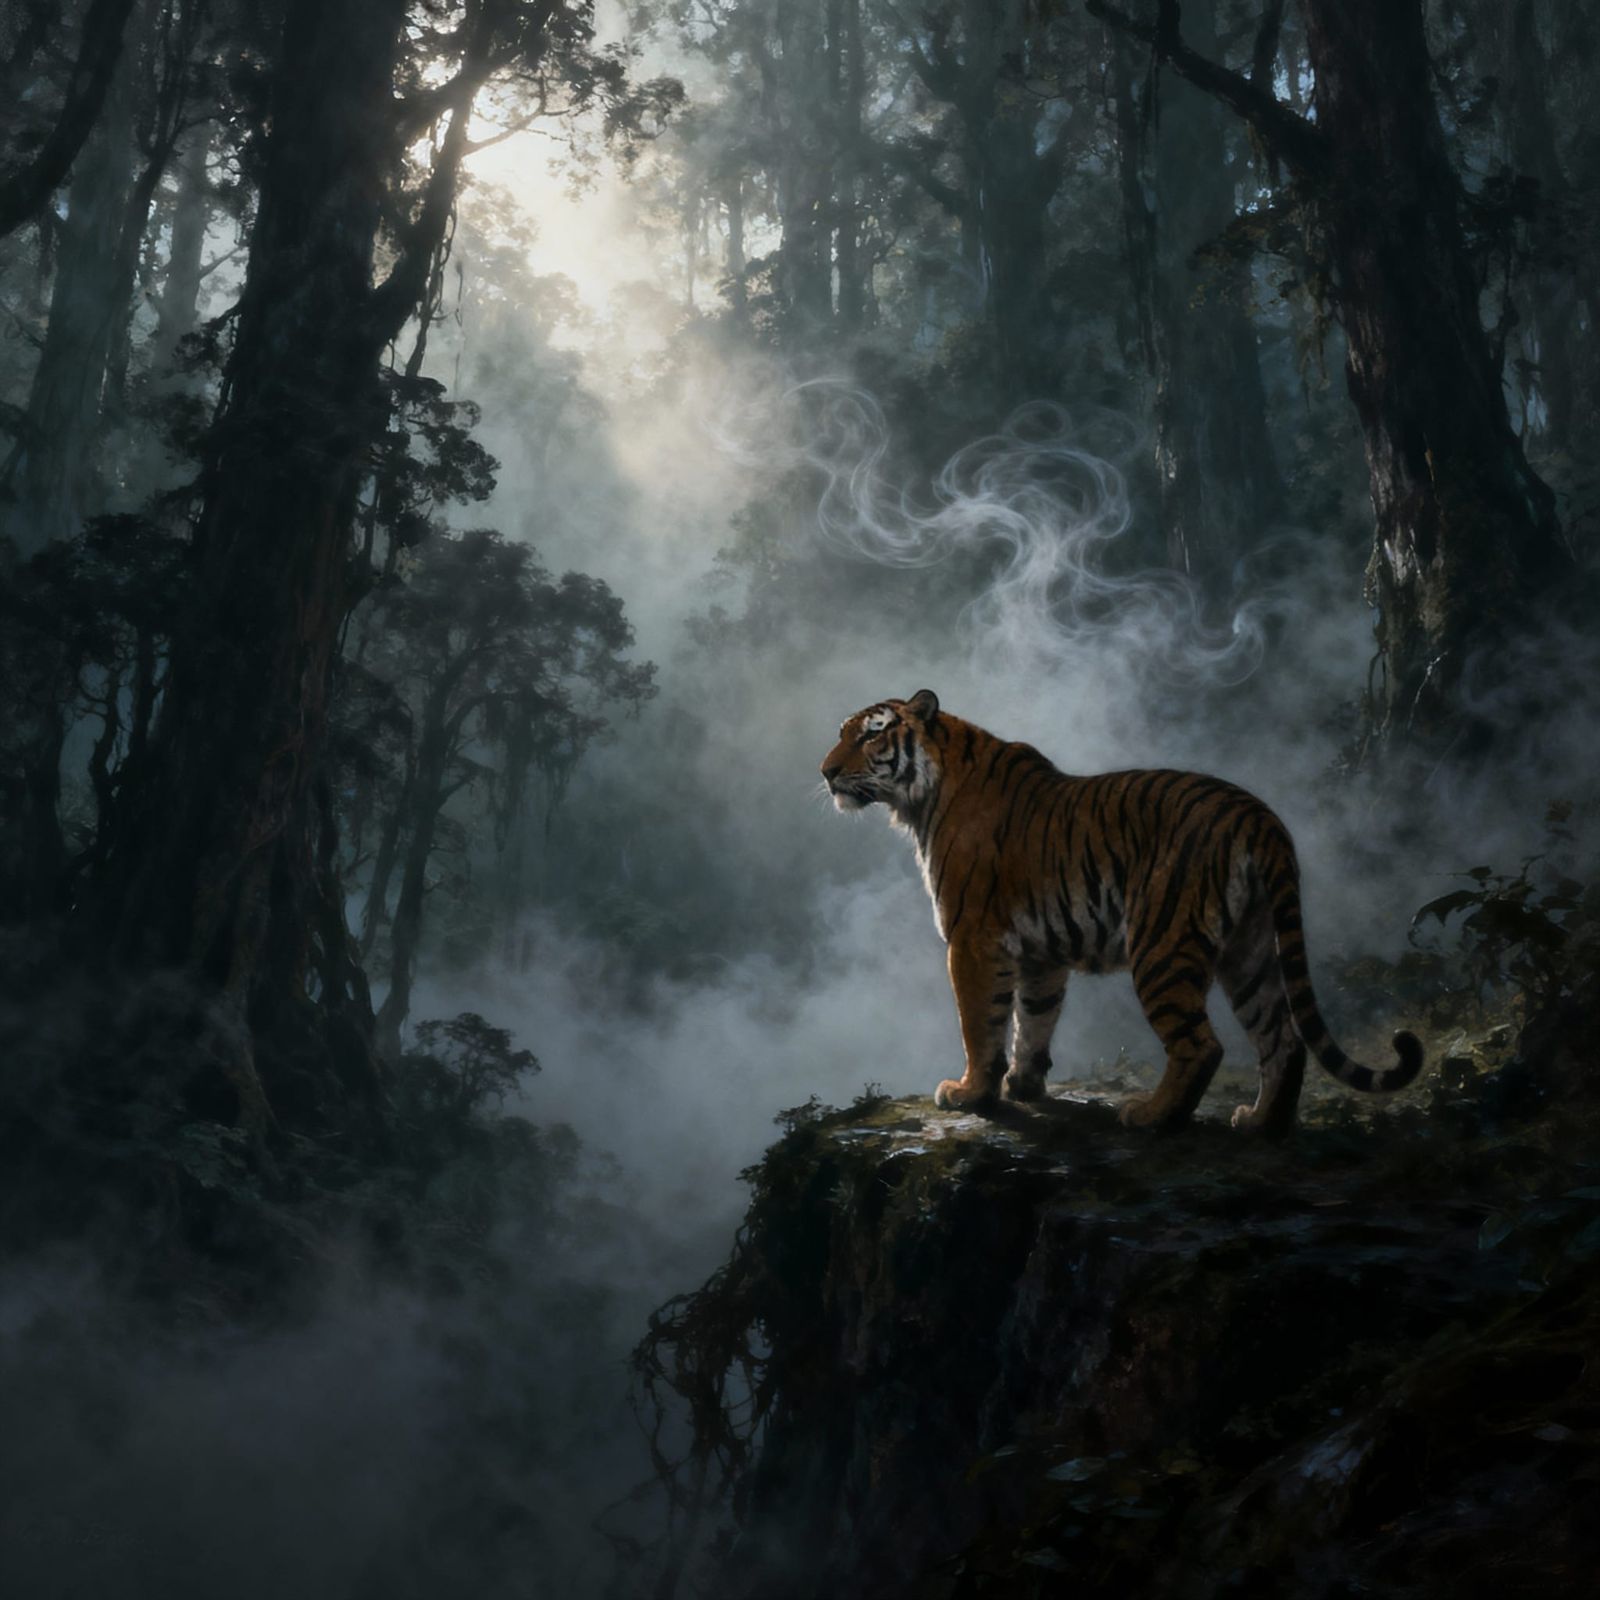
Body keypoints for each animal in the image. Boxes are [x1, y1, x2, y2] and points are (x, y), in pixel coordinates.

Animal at [819, 690, 1423, 1134]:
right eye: (842, 732)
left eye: (871, 732)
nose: (825, 772)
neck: (923, 796)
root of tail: (1259, 816)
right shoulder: (1040, 953)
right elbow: (1032, 1021)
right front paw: (1024, 1085)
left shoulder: (973, 939)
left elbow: (981, 1022)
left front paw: (970, 1092)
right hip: (1248, 949)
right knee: (1283, 1039)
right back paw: (1259, 1123)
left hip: (1162, 945)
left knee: (1202, 1045)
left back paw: (1152, 1116)